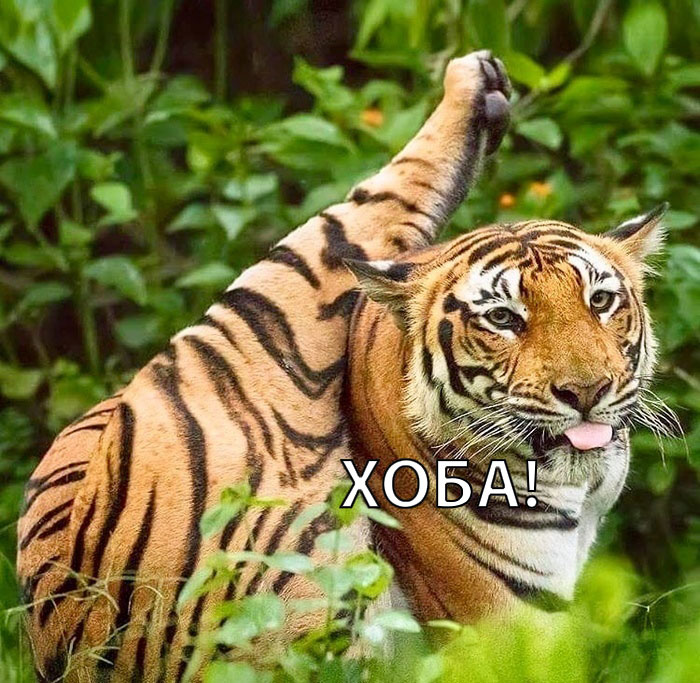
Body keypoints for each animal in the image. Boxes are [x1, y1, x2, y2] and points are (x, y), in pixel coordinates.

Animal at [15, 48, 669, 682]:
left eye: (600, 301)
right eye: (504, 318)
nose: (587, 391)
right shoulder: (507, 631)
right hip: (269, 324)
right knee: (352, 217)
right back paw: (472, 82)